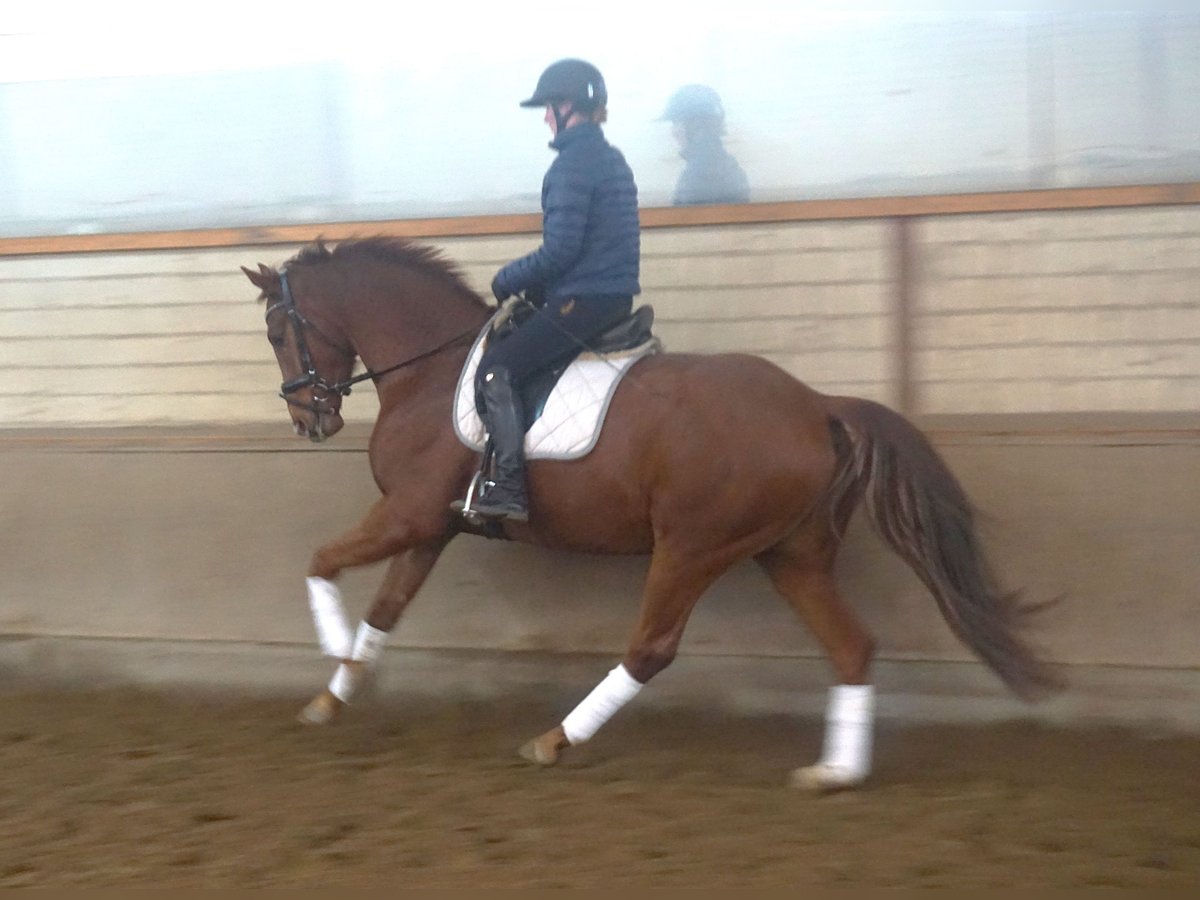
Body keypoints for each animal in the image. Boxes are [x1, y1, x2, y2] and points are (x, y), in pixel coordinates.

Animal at [243, 237, 1060, 787]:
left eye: (281, 333)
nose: (310, 421)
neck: (432, 371)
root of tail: (818, 405)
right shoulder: (432, 526)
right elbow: (386, 609)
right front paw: (336, 691)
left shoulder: (409, 516)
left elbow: (321, 564)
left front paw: (334, 652)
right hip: (792, 554)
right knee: (852, 647)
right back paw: (836, 773)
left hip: (692, 546)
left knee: (651, 649)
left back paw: (555, 740)